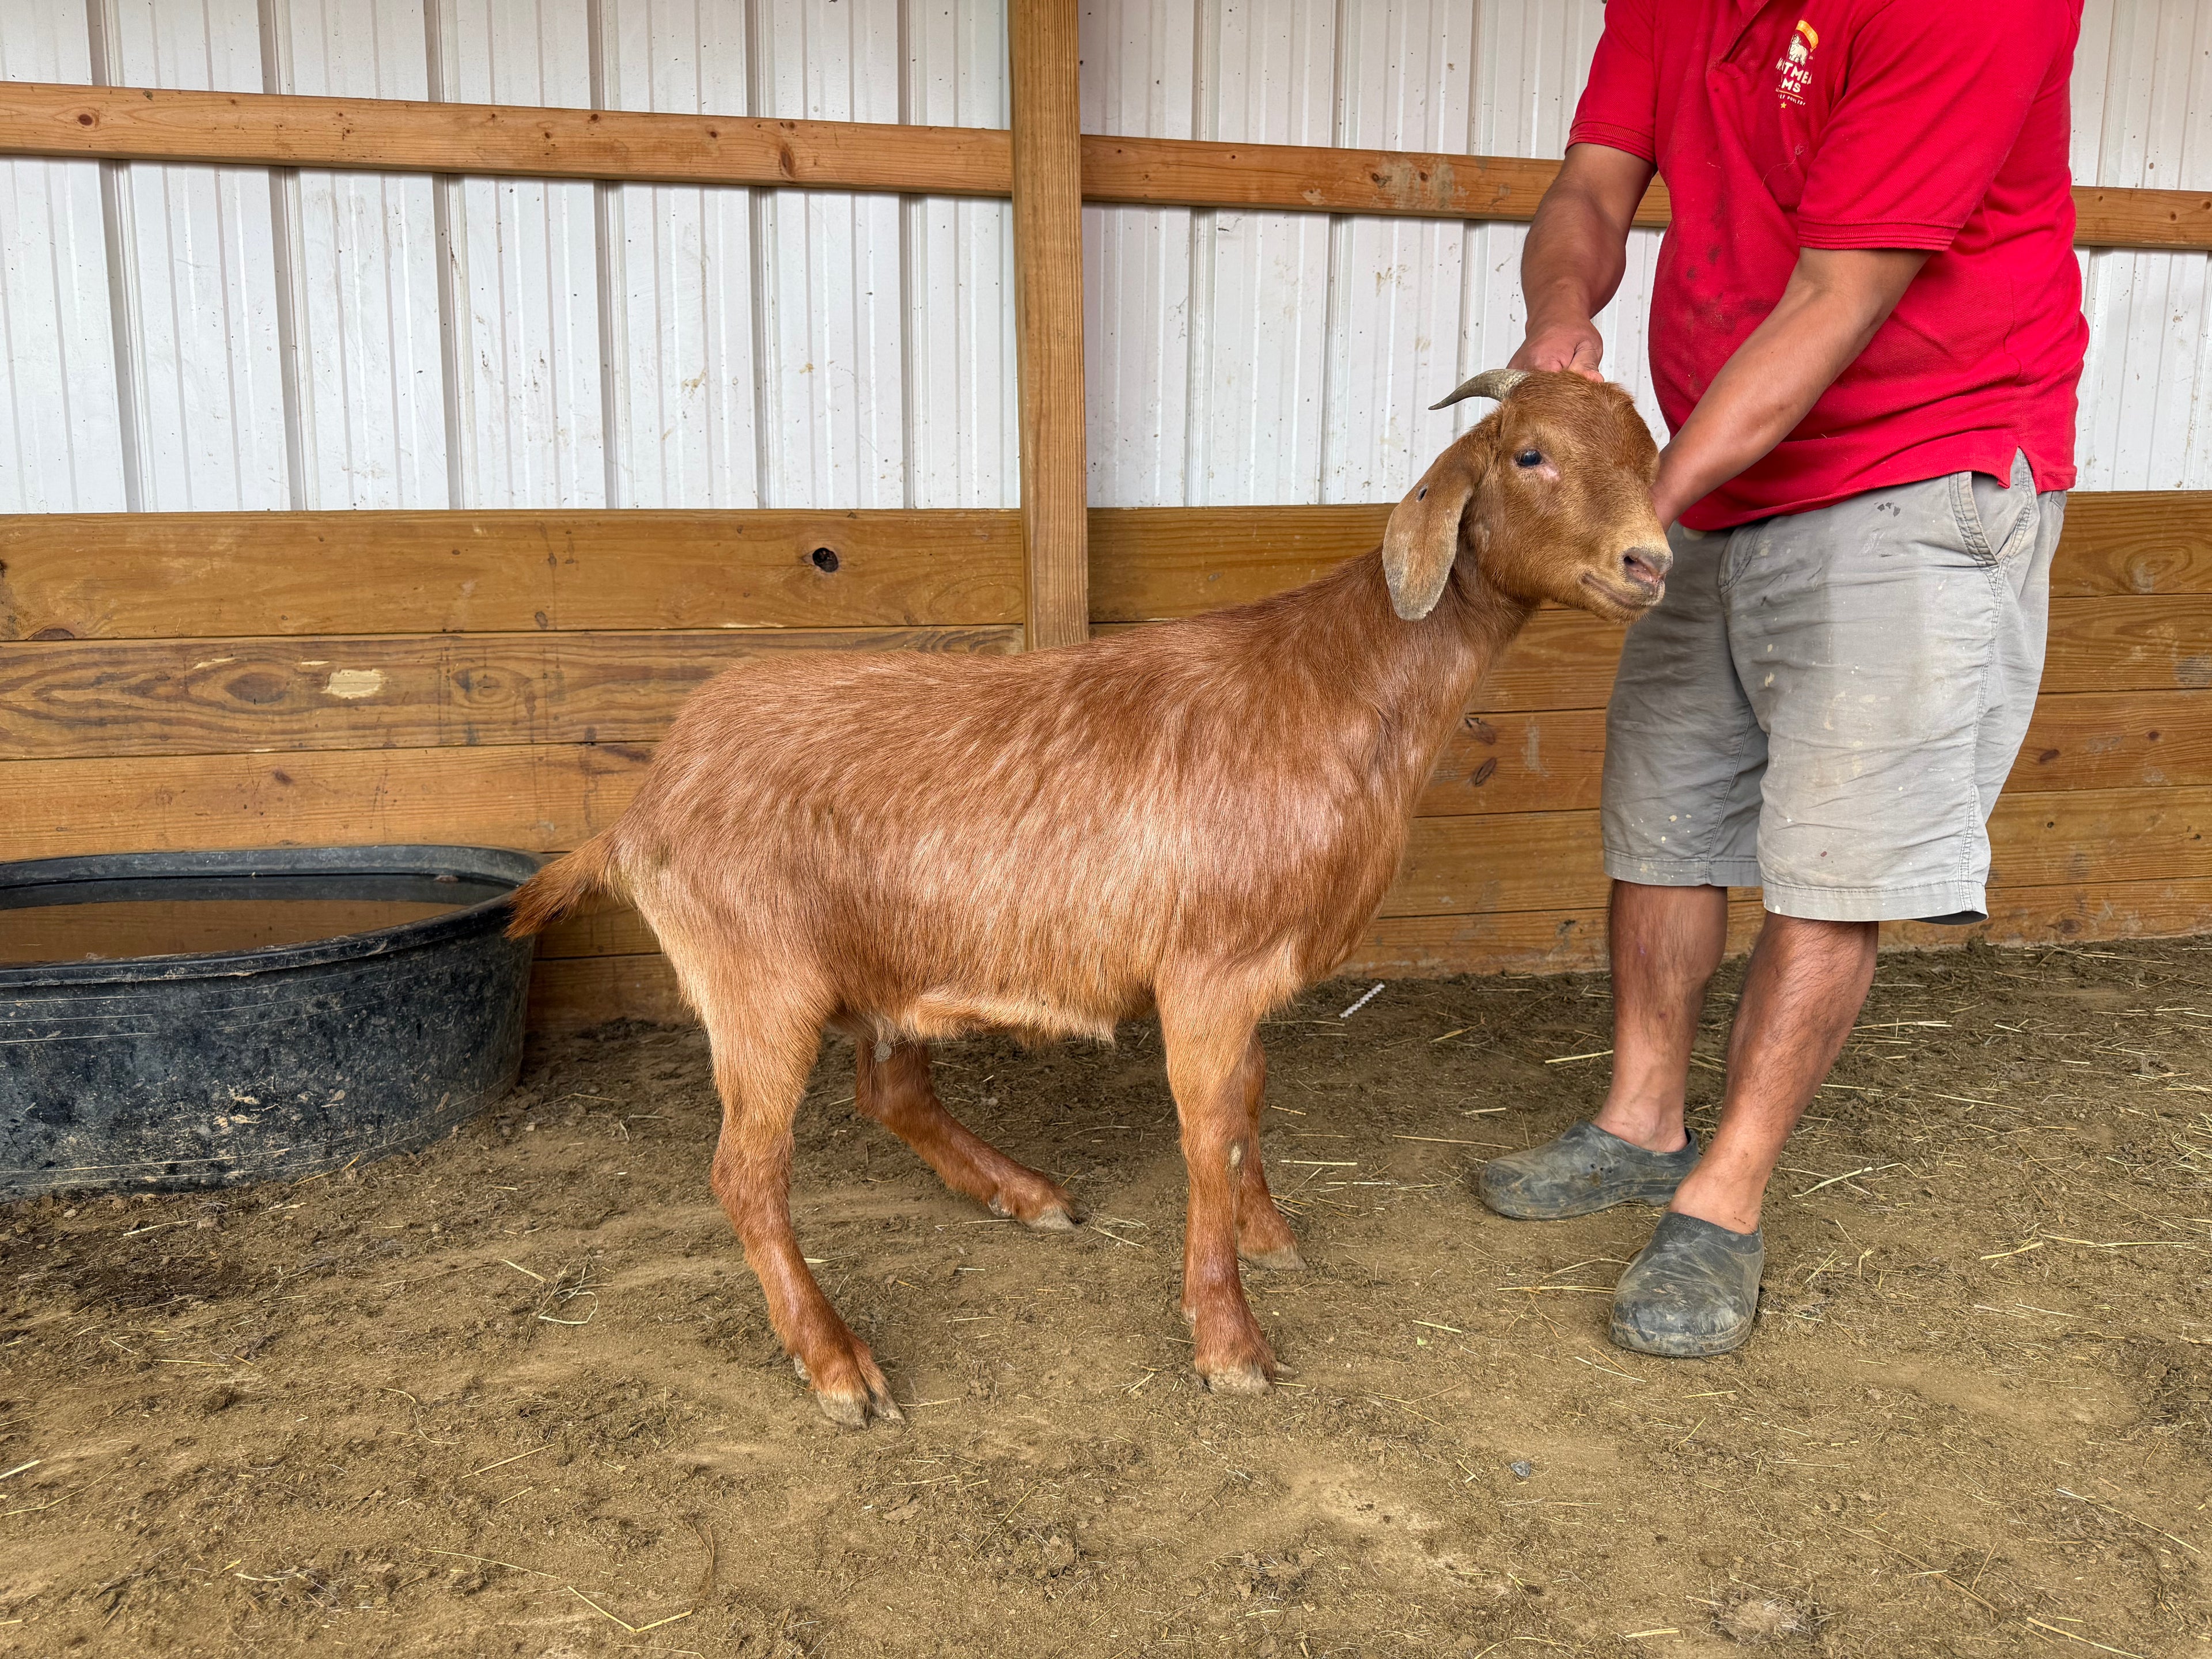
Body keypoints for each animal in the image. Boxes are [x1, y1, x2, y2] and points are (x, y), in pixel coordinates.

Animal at [507, 369, 1670, 1425]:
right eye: (1530, 455)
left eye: (1652, 455)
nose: (1649, 561)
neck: (1333, 683)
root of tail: (642, 806)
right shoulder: (1208, 972)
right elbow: (1211, 1135)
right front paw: (1228, 1342)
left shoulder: (1247, 970)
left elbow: (1251, 1101)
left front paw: (1267, 1238)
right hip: (759, 984)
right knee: (745, 1175)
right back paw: (838, 1365)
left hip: (880, 966)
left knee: (889, 1094)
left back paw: (1023, 1194)